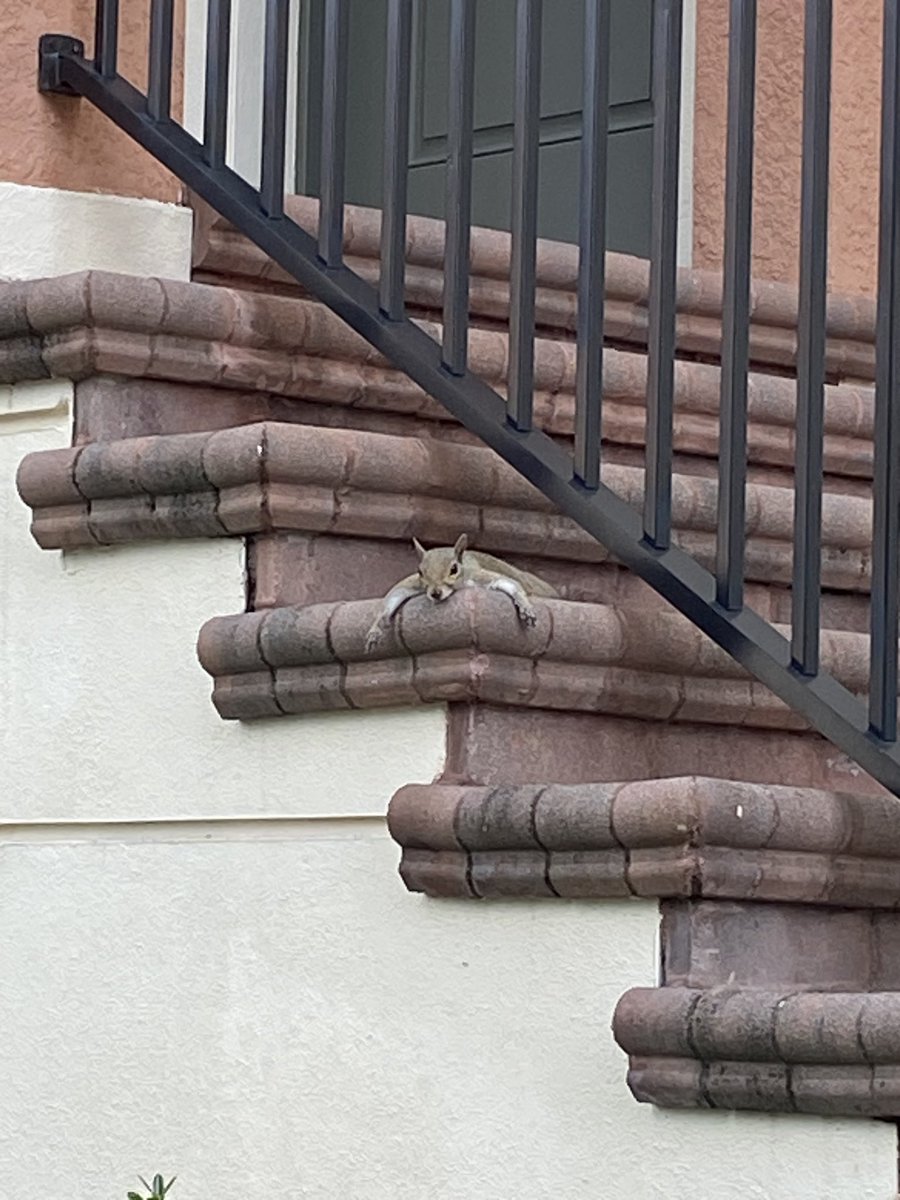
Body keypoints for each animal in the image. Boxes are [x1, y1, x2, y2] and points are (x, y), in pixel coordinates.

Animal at [364, 533, 558, 653]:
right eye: (420, 572)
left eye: (454, 569)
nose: (435, 593)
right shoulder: (413, 584)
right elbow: (393, 595)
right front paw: (376, 628)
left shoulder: (477, 576)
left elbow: (509, 583)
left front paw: (525, 607)